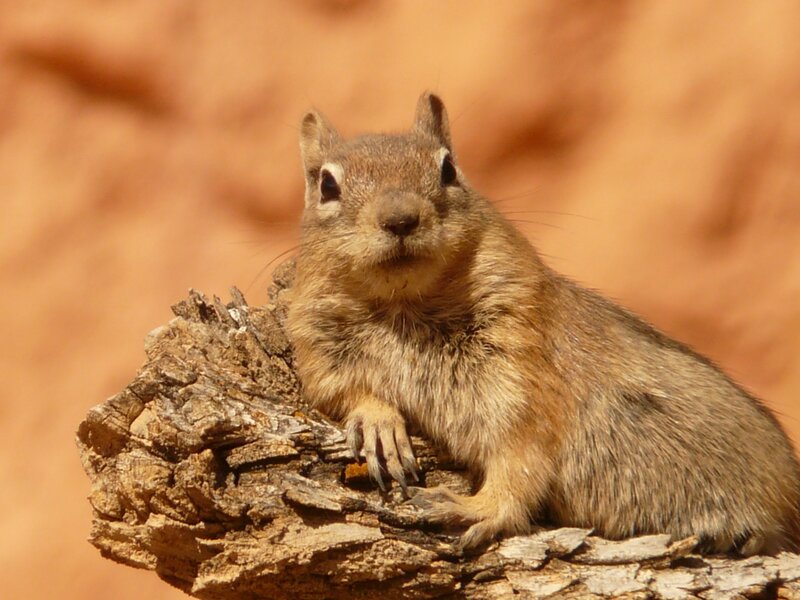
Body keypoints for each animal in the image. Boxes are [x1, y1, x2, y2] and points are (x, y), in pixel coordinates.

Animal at [285, 91, 800, 555]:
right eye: (326, 185)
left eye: (449, 169)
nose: (400, 219)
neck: (405, 306)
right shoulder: (318, 348)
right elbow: (341, 391)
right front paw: (379, 422)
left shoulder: (522, 376)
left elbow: (521, 460)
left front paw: (475, 507)